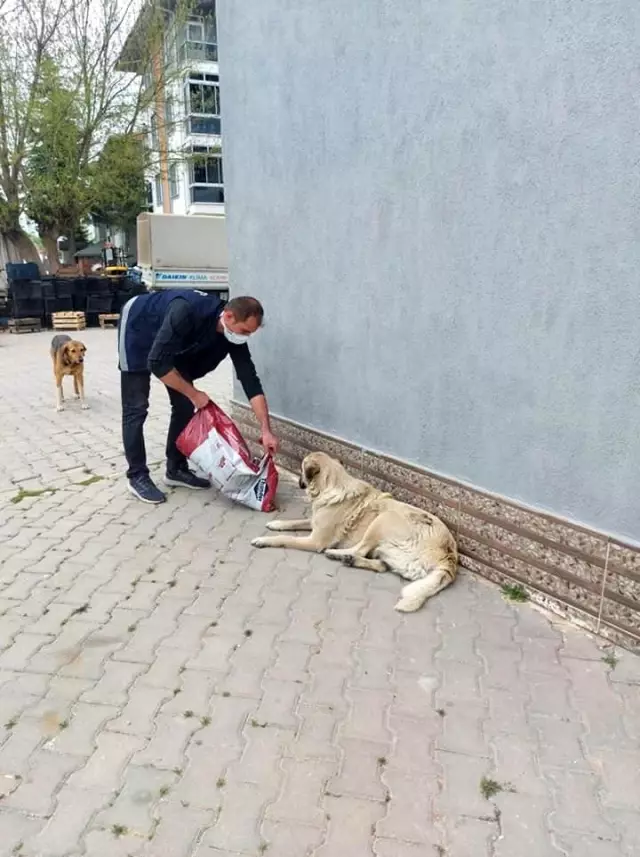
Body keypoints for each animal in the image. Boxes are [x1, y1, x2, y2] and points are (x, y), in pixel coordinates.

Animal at [252, 452, 458, 612]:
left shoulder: (316, 540)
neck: (333, 485)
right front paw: (277, 523)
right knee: (381, 565)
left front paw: (263, 540)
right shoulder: (313, 524)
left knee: (360, 549)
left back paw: (338, 554)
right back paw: (350, 560)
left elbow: (284, 538)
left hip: (383, 519)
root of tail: (449, 556)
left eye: (302, 468)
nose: (300, 482)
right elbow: (294, 522)